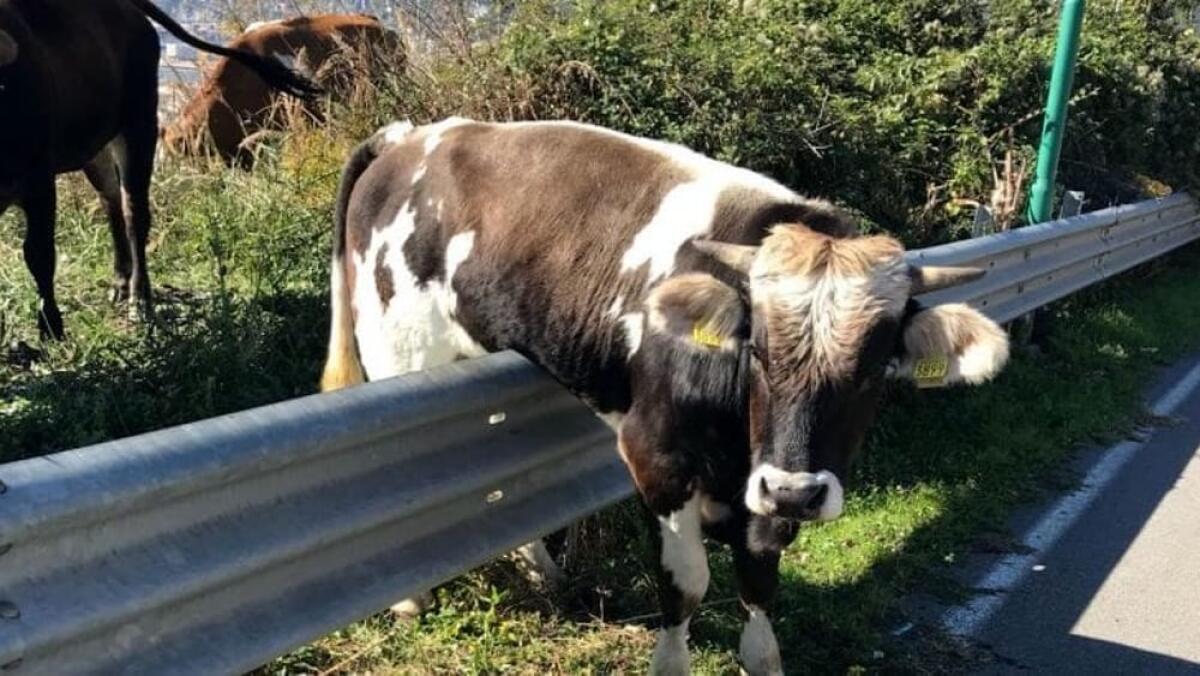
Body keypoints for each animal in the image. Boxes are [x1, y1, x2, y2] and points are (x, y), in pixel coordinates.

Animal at [0, 0, 317, 339]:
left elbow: (39, 254)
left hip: (139, 125)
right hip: (97, 146)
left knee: (134, 214)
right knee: (111, 200)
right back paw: (121, 284)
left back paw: (140, 300)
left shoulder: (39, 181)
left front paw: (52, 328)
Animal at [319, 118, 1010, 674]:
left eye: (872, 369)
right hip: (398, 357)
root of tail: (411, 136)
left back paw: (544, 575)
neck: (738, 438)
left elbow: (759, 581)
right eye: (758, 350)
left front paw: (762, 654)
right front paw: (670, 659)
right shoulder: (657, 454)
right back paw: (410, 598)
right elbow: (687, 583)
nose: (796, 492)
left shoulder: (760, 486)